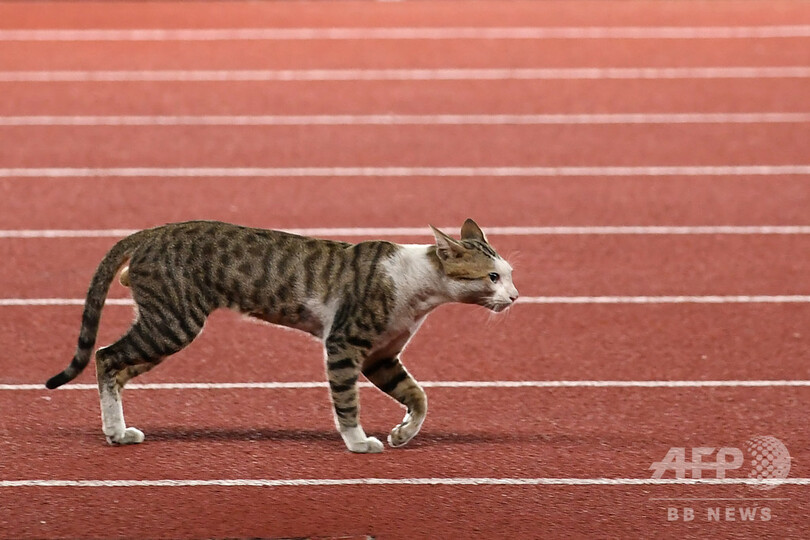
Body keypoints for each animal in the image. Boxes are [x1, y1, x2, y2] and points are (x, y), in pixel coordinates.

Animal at [45, 218, 516, 452]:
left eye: (510, 274)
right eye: (492, 277)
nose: (515, 296)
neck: (421, 291)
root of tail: (151, 232)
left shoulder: (381, 357)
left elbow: (419, 397)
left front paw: (402, 434)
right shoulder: (344, 344)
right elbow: (346, 401)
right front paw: (357, 442)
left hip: (164, 324)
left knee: (117, 368)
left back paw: (118, 431)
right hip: (173, 322)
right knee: (105, 356)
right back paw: (115, 431)